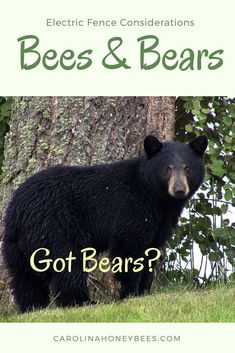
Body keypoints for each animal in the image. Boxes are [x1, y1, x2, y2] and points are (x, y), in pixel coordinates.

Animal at [2, 134, 207, 310]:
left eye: (188, 169)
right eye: (167, 169)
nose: (179, 190)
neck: (158, 198)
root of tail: (17, 209)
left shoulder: (162, 221)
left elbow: (151, 250)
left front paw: (144, 291)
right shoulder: (132, 207)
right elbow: (129, 248)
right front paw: (130, 293)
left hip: (18, 242)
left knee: (24, 276)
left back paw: (33, 306)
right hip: (55, 226)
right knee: (68, 264)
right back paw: (82, 301)